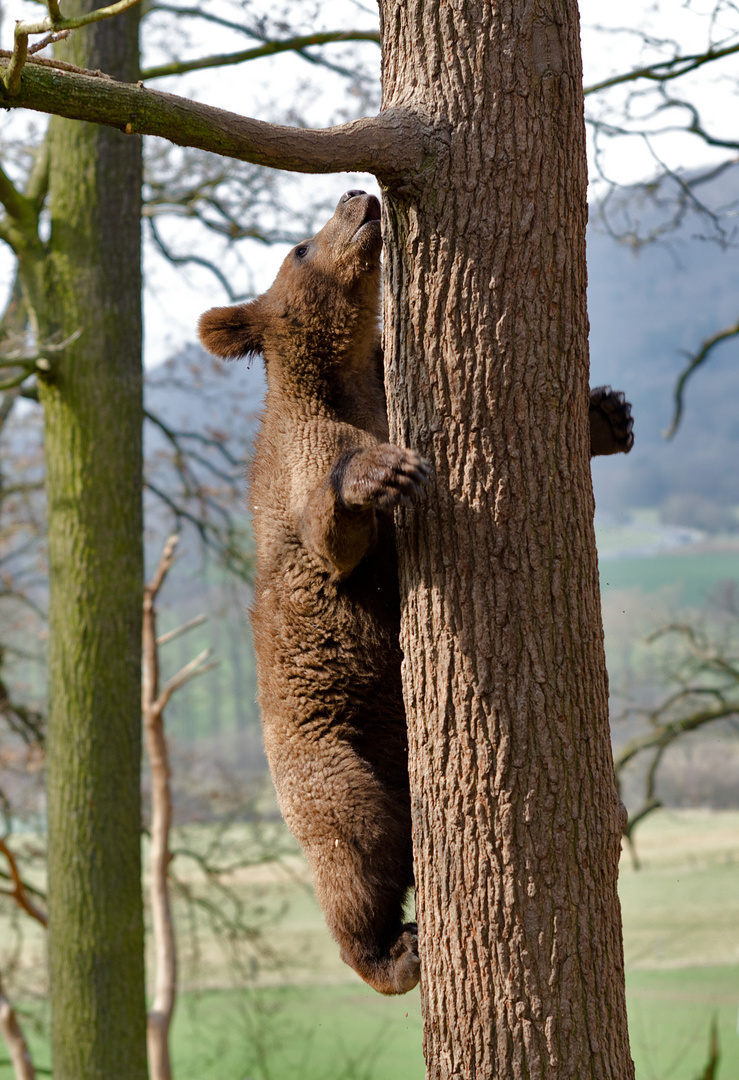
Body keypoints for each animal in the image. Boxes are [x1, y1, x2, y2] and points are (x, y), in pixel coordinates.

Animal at [197, 192, 635, 993]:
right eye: (300, 247)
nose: (357, 197)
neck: (345, 379)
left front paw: (606, 413)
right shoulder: (302, 461)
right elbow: (332, 534)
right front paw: (382, 474)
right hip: (326, 760)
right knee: (355, 848)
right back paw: (390, 952)